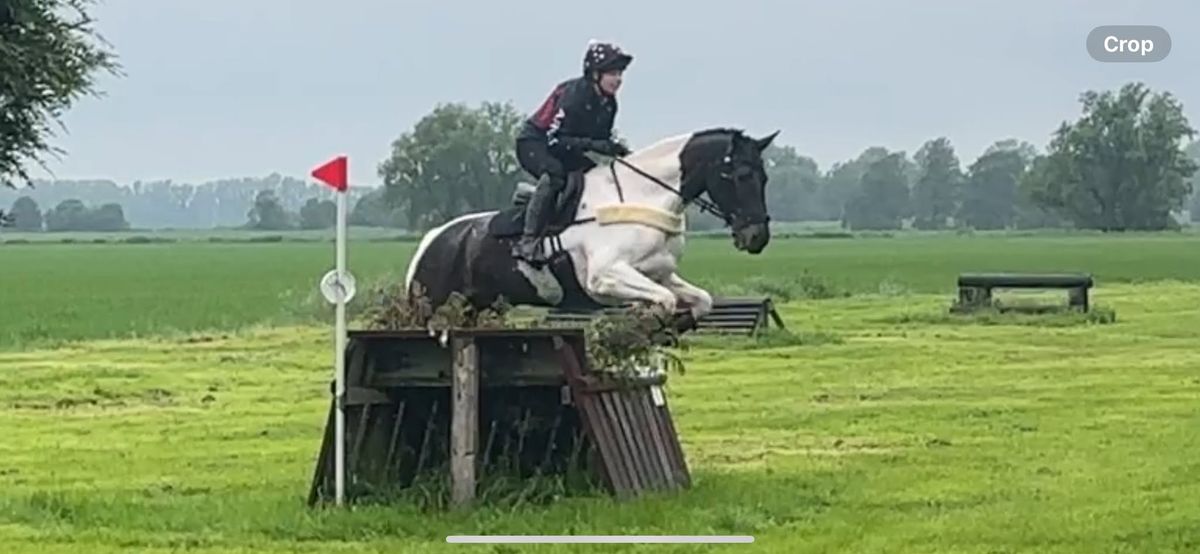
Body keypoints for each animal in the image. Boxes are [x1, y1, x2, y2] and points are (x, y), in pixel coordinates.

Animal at [403, 126, 777, 328]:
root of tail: (433, 240)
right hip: (431, 307)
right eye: (741, 175)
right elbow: (666, 301)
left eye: (764, 177)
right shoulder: (605, 277)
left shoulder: (658, 273)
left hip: (476, 308)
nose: (757, 237)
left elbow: (699, 301)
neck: (644, 196)